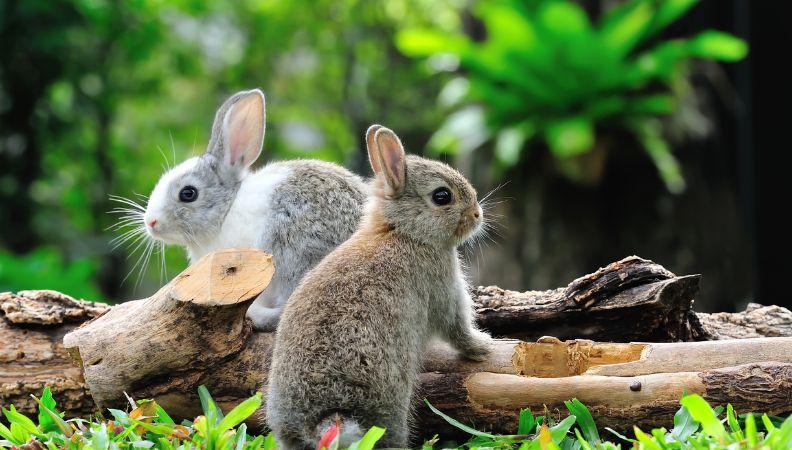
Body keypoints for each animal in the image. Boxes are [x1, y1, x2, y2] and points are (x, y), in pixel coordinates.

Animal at [266, 125, 494, 450]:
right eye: (442, 196)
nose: (477, 215)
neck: (403, 232)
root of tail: (325, 419)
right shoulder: (443, 288)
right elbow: (457, 328)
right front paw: (483, 346)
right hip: (389, 406)